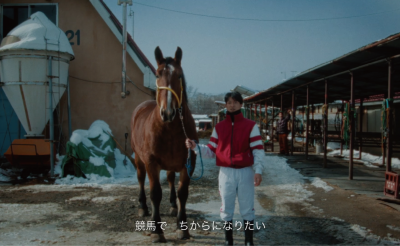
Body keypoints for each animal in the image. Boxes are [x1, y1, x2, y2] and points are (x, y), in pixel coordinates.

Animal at [130, 47, 198, 243]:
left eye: (179, 75)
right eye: (157, 74)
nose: (168, 112)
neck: (170, 129)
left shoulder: (188, 163)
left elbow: (183, 193)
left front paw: (182, 227)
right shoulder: (152, 163)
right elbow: (155, 194)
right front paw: (157, 231)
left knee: (170, 179)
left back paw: (173, 206)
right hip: (139, 159)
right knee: (140, 179)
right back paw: (143, 207)